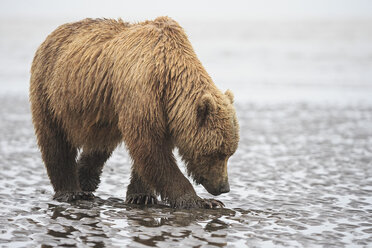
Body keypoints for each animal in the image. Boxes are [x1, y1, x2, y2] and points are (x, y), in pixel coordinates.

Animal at [28, 16, 238, 208]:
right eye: (217, 153)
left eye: (230, 153)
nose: (224, 187)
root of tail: (54, 33)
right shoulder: (142, 90)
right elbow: (149, 146)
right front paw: (199, 201)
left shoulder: (165, 111)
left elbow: (149, 151)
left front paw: (141, 195)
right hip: (50, 90)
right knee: (55, 141)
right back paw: (70, 191)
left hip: (103, 108)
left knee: (100, 141)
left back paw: (86, 178)